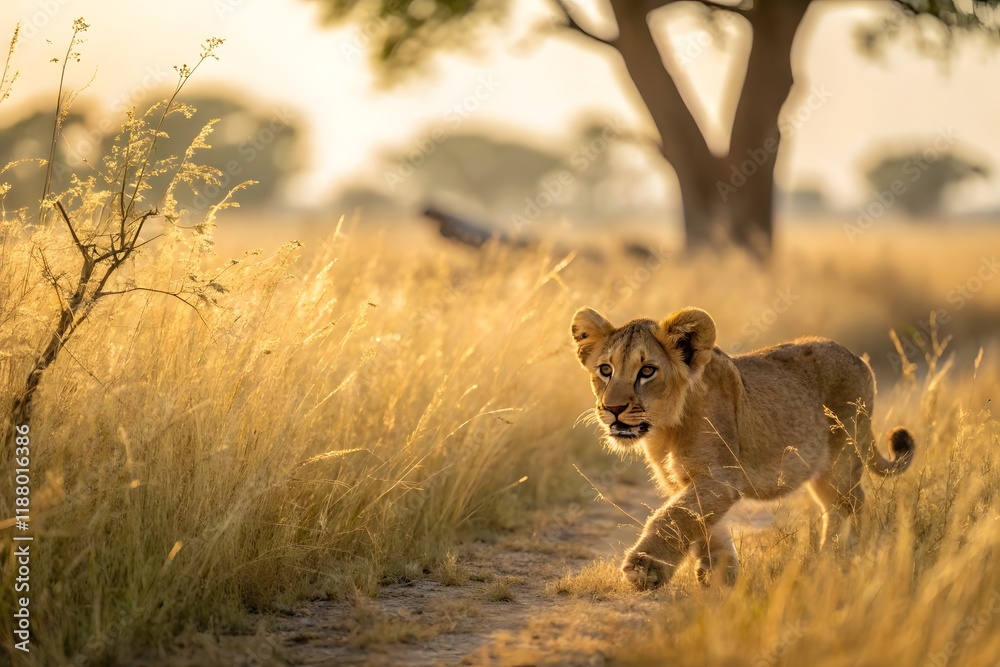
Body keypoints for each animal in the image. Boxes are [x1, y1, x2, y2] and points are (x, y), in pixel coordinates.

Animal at [571, 306, 915, 590]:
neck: (664, 430)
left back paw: (841, 556)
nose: (613, 409)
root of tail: (860, 361)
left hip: (842, 459)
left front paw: (645, 568)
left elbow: (672, 516)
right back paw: (827, 558)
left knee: (852, 503)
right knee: (837, 506)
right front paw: (720, 573)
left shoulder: (721, 477)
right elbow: (703, 521)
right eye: (605, 370)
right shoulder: (688, 481)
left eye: (647, 371)